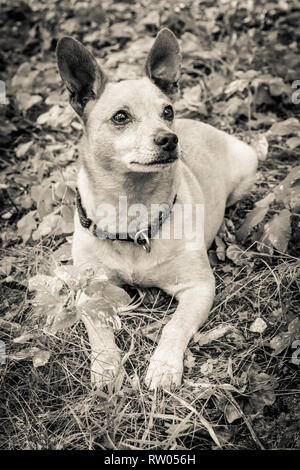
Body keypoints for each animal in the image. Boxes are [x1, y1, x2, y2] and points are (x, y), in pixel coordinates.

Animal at [56, 28, 258, 390]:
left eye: (167, 111)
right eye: (121, 117)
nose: (169, 139)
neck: (133, 206)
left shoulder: (198, 288)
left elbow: (174, 326)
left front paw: (164, 365)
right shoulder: (89, 291)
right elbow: (99, 329)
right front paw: (106, 366)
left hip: (246, 171)